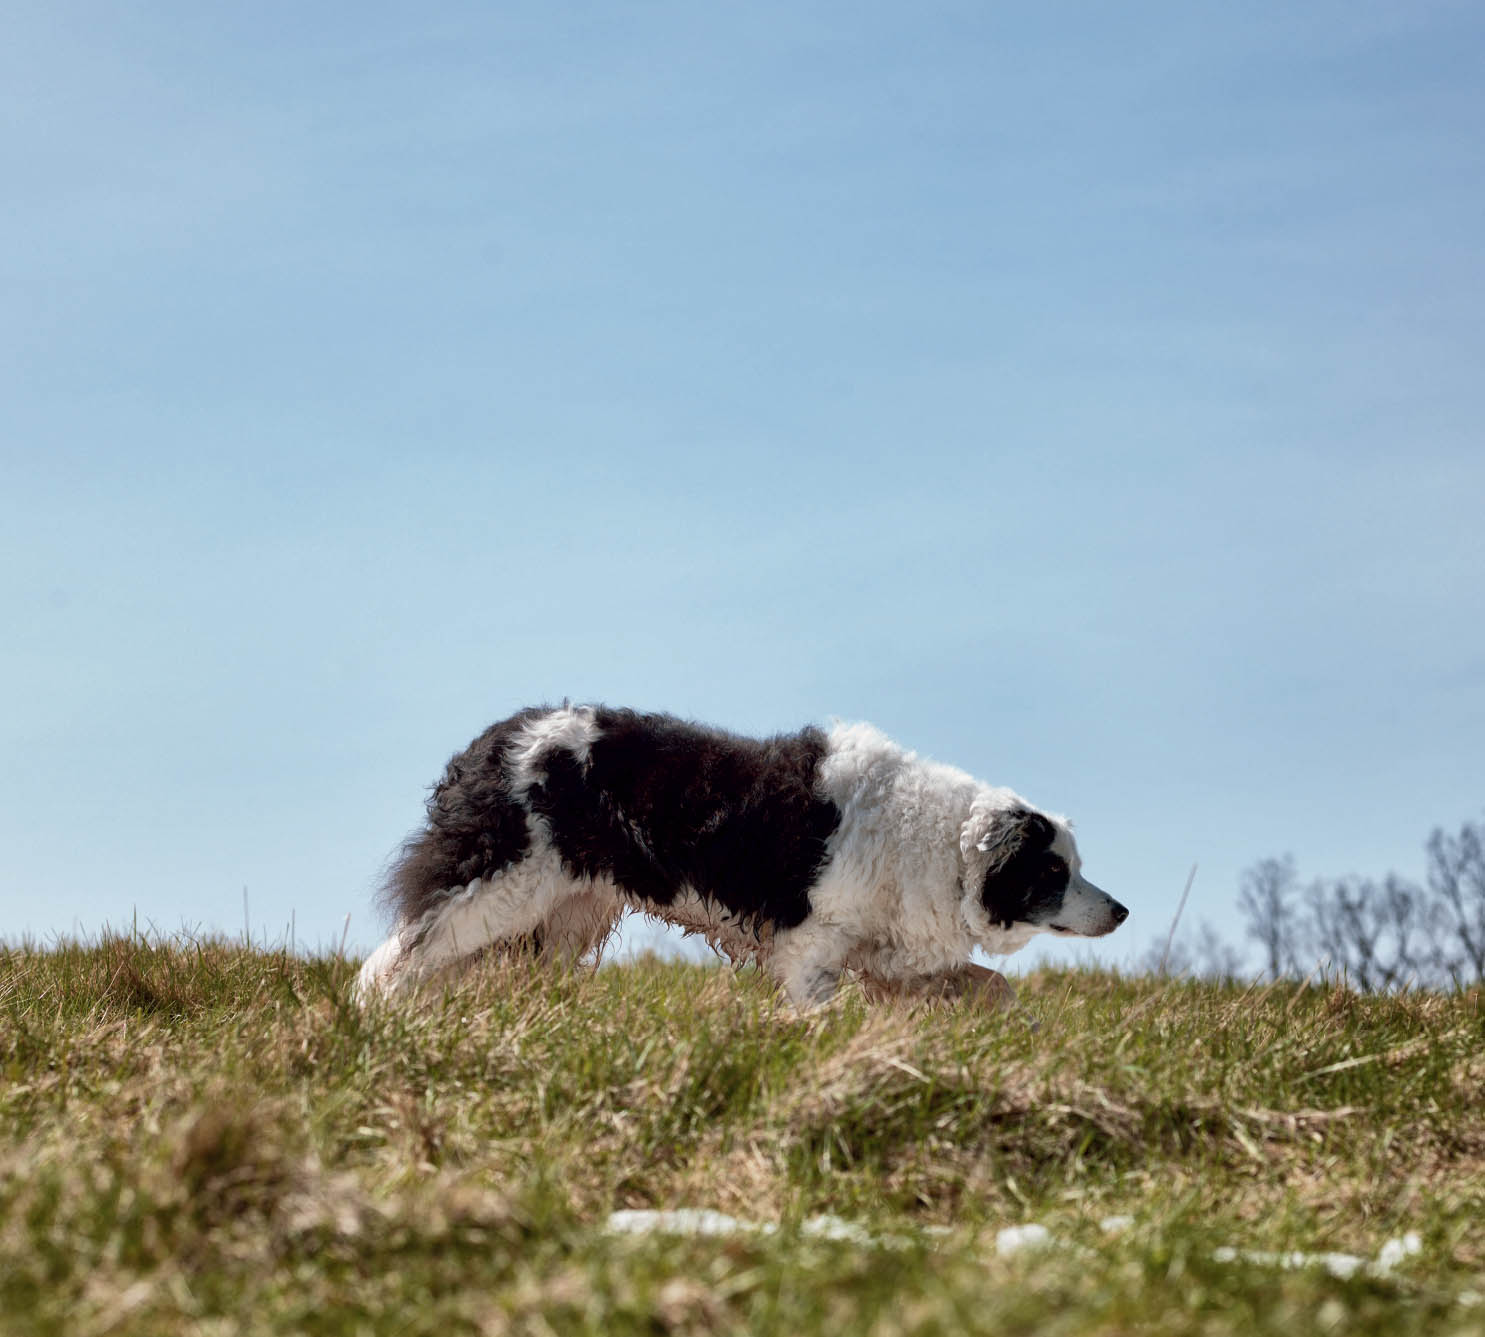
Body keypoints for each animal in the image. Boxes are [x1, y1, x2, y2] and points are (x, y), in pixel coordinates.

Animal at [359, 710, 1122, 1004]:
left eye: (1075, 866)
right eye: (1053, 870)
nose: (1119, 910)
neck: (940, 842)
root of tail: (495, 738)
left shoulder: (883, 957)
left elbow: (998, 989)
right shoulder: (812, 949)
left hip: (564, 916)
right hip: (497, 891)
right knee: (394, 958)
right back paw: (378, 1016)